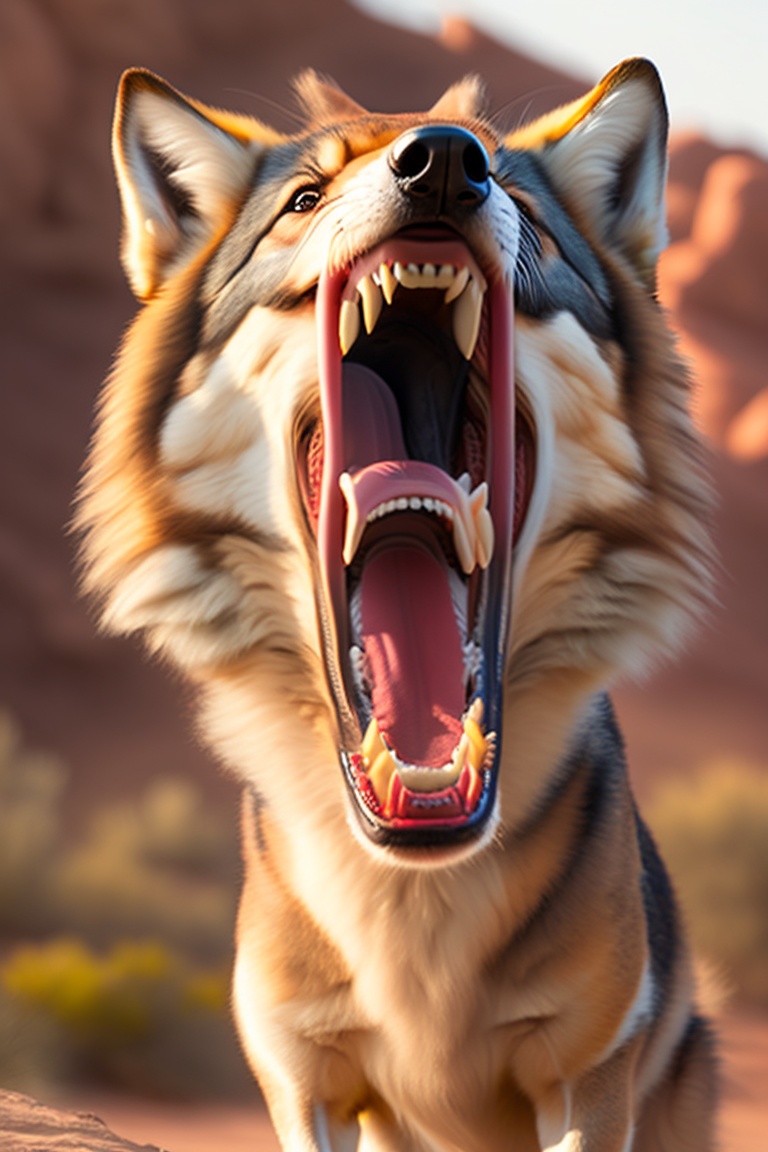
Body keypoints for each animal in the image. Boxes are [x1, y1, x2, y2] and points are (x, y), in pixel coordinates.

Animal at [78, 58, 718, 1150]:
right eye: (303, 200)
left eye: (528, 213)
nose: (444, 164)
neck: (414, 893)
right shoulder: (306, 1079)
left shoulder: (588, 1076)